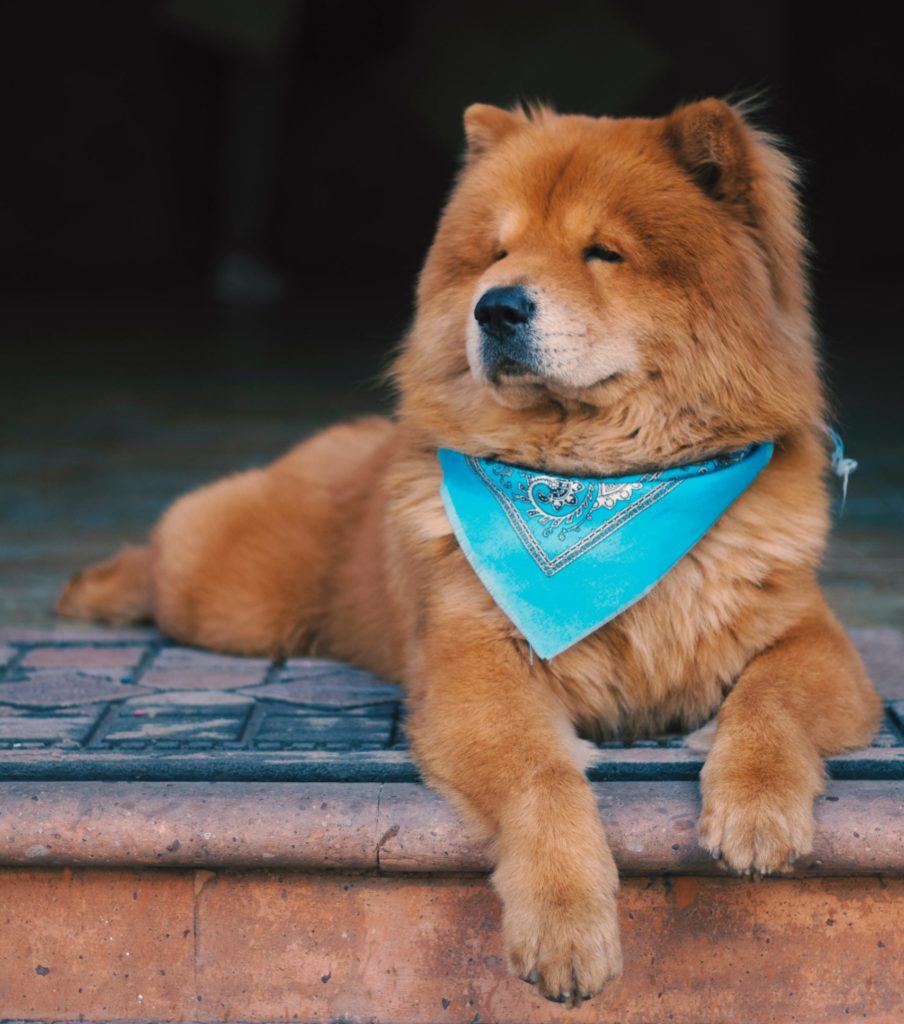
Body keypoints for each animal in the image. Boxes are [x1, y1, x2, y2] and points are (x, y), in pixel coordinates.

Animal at [58, 97, 884, 1007]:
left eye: (604, 252)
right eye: (498, 252)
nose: (496, 307)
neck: (599, 481)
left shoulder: (813, 640)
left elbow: (770, 703)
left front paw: (754, 811)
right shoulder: (476, 666)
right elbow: (542, 779)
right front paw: (565, 927)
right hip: (230, 600)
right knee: (166, 548)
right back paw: (97, 589)